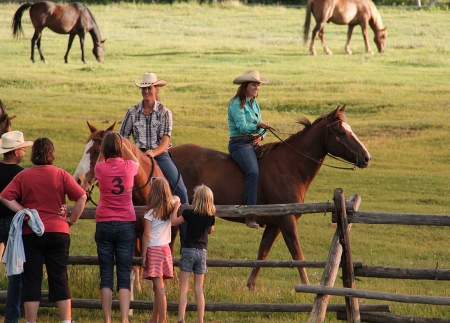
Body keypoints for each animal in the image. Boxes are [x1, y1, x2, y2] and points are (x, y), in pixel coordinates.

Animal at [171, 106, 370, 292]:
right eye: (341, 132)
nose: (366, 157)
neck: (290, 167)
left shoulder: (275, 225)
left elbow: (262, 253)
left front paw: (250, 286)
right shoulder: (287, 221)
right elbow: (297, 254)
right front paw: (306, 286)